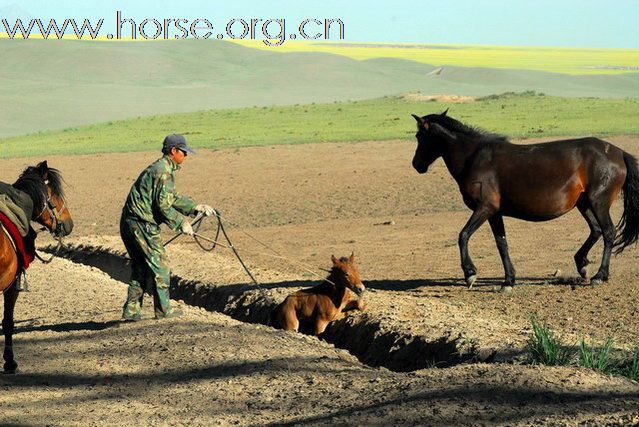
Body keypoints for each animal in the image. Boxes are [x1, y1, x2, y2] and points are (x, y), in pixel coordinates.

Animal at [412, 110, 636, 292]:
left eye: (418, 136)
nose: (416, 164)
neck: (474, 158)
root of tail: (619, 153)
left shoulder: (485, 207)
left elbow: (463, 235)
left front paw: (470, 274)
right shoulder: (494, 213)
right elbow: (502, 244)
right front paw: (508, 281)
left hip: (598, 202)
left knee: (608, 232)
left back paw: (599, 275)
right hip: (584, 204)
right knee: (596, 230)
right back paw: (581, 265)